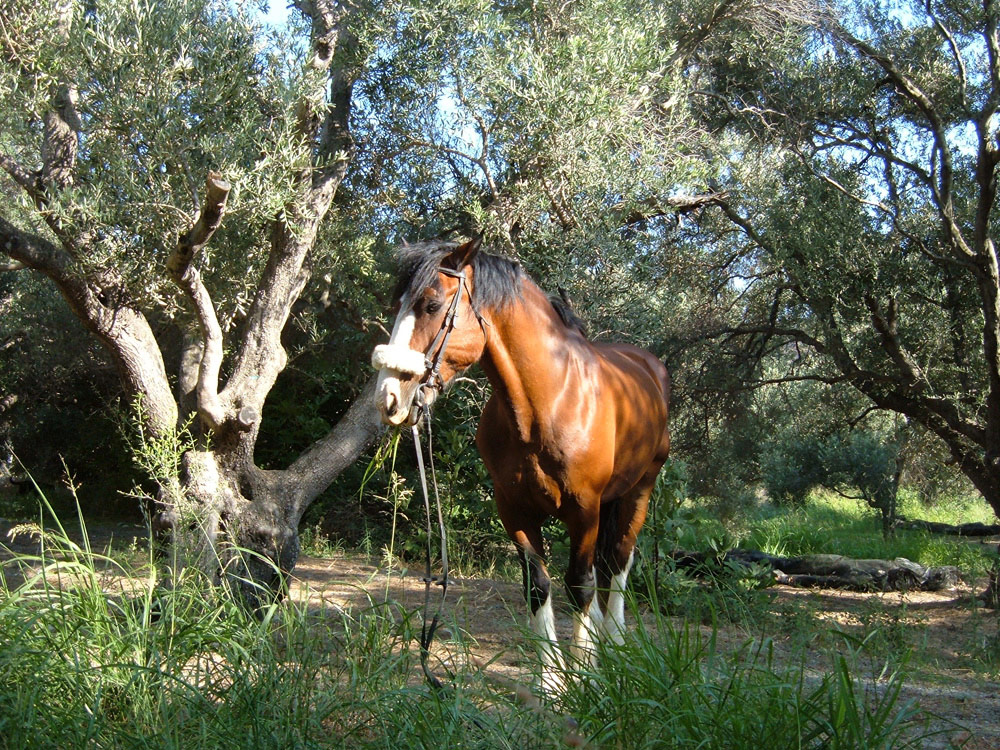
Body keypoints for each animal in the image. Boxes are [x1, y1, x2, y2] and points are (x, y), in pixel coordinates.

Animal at [371, 237, 671, 690]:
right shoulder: (513, 510)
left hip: (640, 490)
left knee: (618, 562)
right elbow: (538, 586)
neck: (546, 402)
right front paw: (550, 681)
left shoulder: (585, 510)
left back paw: (617, 644)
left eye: (432, 304)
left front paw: (584, 674)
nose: (389, 397)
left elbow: (580, 585)